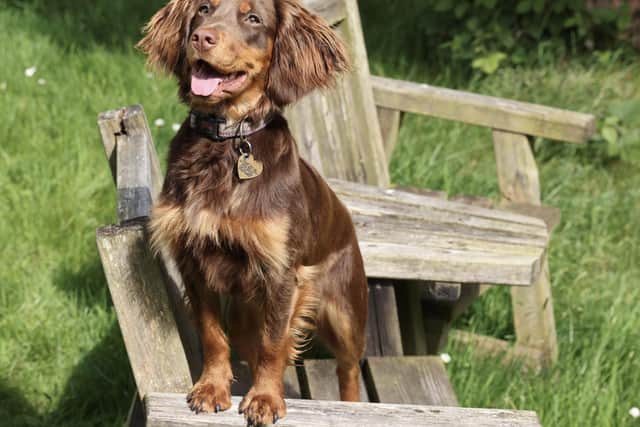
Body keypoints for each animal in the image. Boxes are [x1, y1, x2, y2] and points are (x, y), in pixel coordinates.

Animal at [139, 1, 370, 426]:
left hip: (346, 314)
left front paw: (264, 399)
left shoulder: (282, 275)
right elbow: (213, 335)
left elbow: (274, 343)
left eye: (253, 19)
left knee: (347, 367)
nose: (201, 37)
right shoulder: (194, 263)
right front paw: (212, 388)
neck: (227, 140)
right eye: (203, 9)